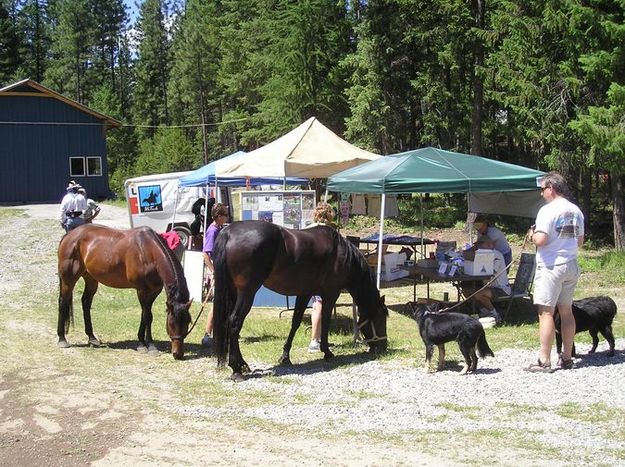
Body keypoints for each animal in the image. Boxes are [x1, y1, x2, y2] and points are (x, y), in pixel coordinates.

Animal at [56, 225, 193, 360]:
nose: (178, 354)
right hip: (68, 279)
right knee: (63, 302)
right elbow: (147, 316)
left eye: (188, 322)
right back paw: (62, 339)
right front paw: (149, 345)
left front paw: (142, 342)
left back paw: (92, 338)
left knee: (86, 302)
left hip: (90, 278)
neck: (148, 251)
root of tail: (69, 235)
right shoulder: (142, 290)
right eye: (171, 324)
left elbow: (145, 314)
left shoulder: (154, 291)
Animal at [212, 222, 388, 380]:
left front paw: (285, 356)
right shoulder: (331, 294)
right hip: (247, 292)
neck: (341, 253)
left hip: (234, 292)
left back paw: (242, 364)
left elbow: (295, 322)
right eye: (381, 318)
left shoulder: (304, 294)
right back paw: (237, 369)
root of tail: (229, 232)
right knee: (234, 322)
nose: (383, 347)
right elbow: (325, 321)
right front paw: (327, 352)